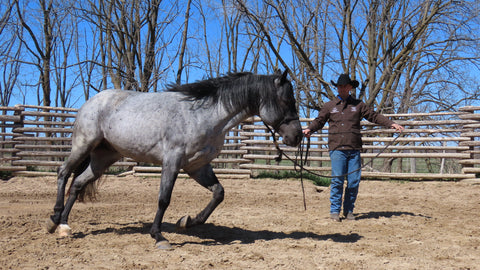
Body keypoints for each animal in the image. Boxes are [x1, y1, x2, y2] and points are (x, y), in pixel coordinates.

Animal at [45, 69, 300, 249]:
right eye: (287, 100)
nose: (297, 135)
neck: (202, 115)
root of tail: (92, 100)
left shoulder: (197, 166)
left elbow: (218, 193)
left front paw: (187, 221)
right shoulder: (172, 162)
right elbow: (164, 199)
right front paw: (159, 236)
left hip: (103, 158)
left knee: (78, 184)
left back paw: (65, 225)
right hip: (83, 145)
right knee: (63, 173)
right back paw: (54, 218)